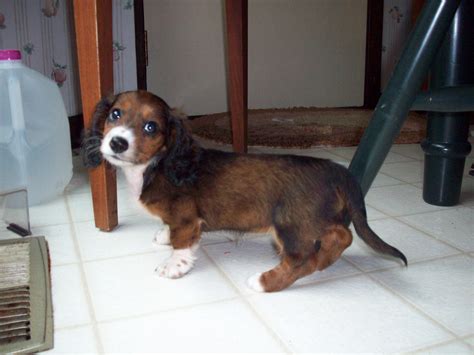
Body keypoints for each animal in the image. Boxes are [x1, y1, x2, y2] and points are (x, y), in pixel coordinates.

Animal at [82, 90, 408, 294]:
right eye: (114, 114)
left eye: (151, 127)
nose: (117, 143)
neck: (157, 164)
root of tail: (337, 170)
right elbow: (172, 231)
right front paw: (164, 235)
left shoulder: (187, 220)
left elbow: (182, 244)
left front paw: (174, 265)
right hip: (314, 220)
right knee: (343, 235)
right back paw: (325, 261)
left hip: (290, 225)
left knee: (302, 259)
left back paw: (265, 281)